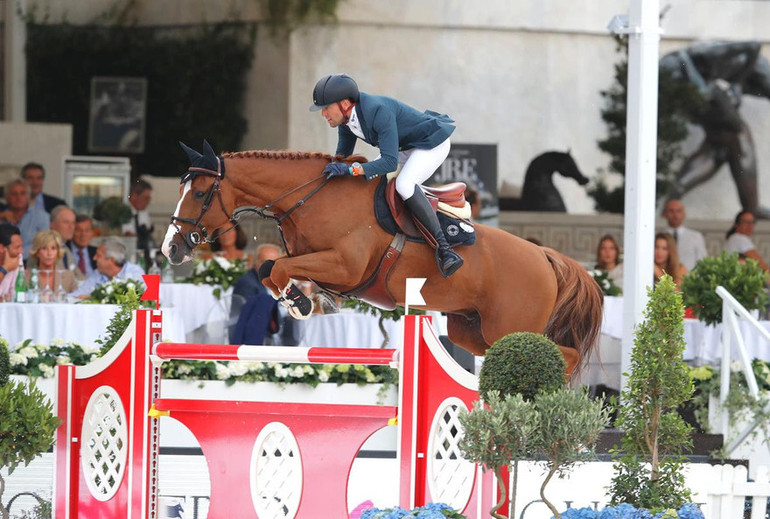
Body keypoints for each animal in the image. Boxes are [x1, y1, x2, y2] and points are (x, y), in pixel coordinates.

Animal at [162, 142, 604, 378]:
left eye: (199, 194)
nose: (171, 248)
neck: (310, 197)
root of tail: (545, 256)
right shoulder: (313, 259)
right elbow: (272, 269)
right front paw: (307, 301)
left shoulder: (345, 265)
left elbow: (280, 268)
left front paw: (301, 302)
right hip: (471, 330)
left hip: (511, 326)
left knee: (560, 355)